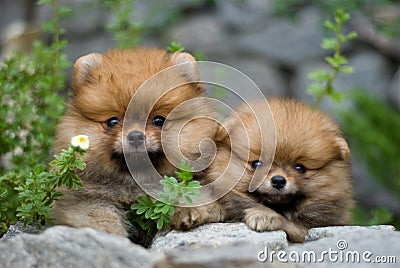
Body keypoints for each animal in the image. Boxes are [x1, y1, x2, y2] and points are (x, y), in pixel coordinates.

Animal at [52, 46, 219, 243]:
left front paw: (188, 210)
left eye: (159, 120)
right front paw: (110, 236)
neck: (136, 182)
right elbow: (100, 216)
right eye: (112, 121)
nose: (136, 136)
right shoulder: (87, 198)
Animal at [172, 98, 354, 243]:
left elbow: (289, 223)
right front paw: (189, 210)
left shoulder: (309, 228)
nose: (278, 180)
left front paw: (265, 215)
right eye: (257, 163)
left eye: (300, 168)